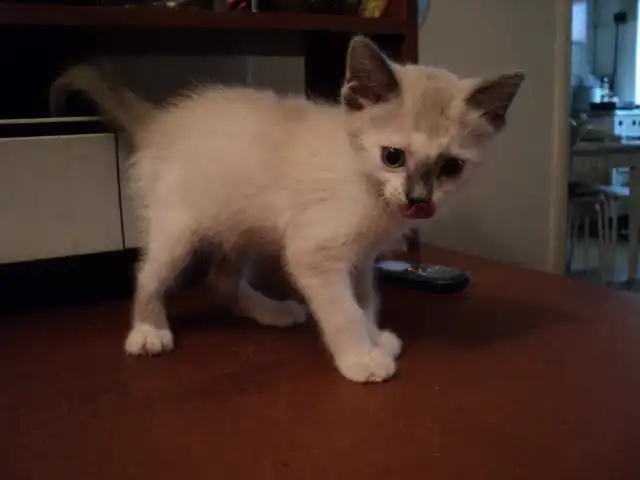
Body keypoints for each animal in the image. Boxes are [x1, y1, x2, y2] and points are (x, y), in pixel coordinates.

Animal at [51, 36, 524, 383]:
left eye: (451, 167)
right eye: (393, 157)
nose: (418, 199)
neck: (366, 183)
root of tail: (162, 119)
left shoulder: (361, 257)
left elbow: (365, 299)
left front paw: (375, 338)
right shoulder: (314, 252)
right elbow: (343, 310)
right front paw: (361, 357)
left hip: (244, 230)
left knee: (221, 282)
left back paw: (272, 312)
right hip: (179, 230)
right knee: (148, 275)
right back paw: (148, 331)